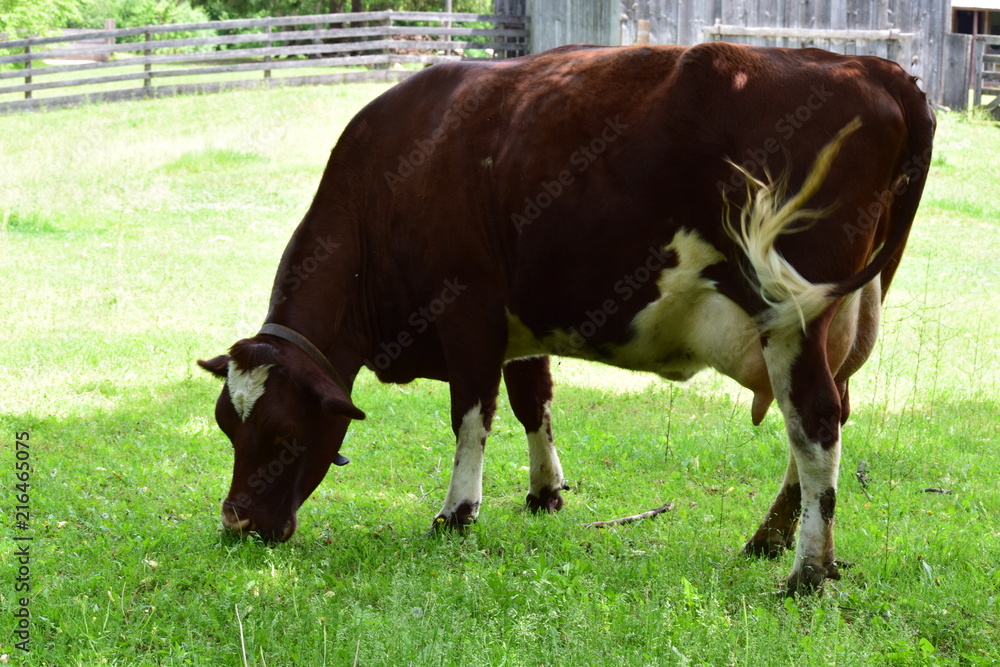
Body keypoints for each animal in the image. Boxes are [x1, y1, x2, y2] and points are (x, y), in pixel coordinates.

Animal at [198, 41, 934, 595]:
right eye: (228, 426)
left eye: (284, 435)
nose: (237, 525)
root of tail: (873, 68)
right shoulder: (518, 319)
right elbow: (534, 399)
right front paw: (544, 492)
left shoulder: (467, 310)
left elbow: (471, 415)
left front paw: (456, 513)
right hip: (834, 318)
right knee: (825, 417)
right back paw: (770, 538)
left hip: (788, 314)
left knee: (813, 424)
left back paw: (807, 570)